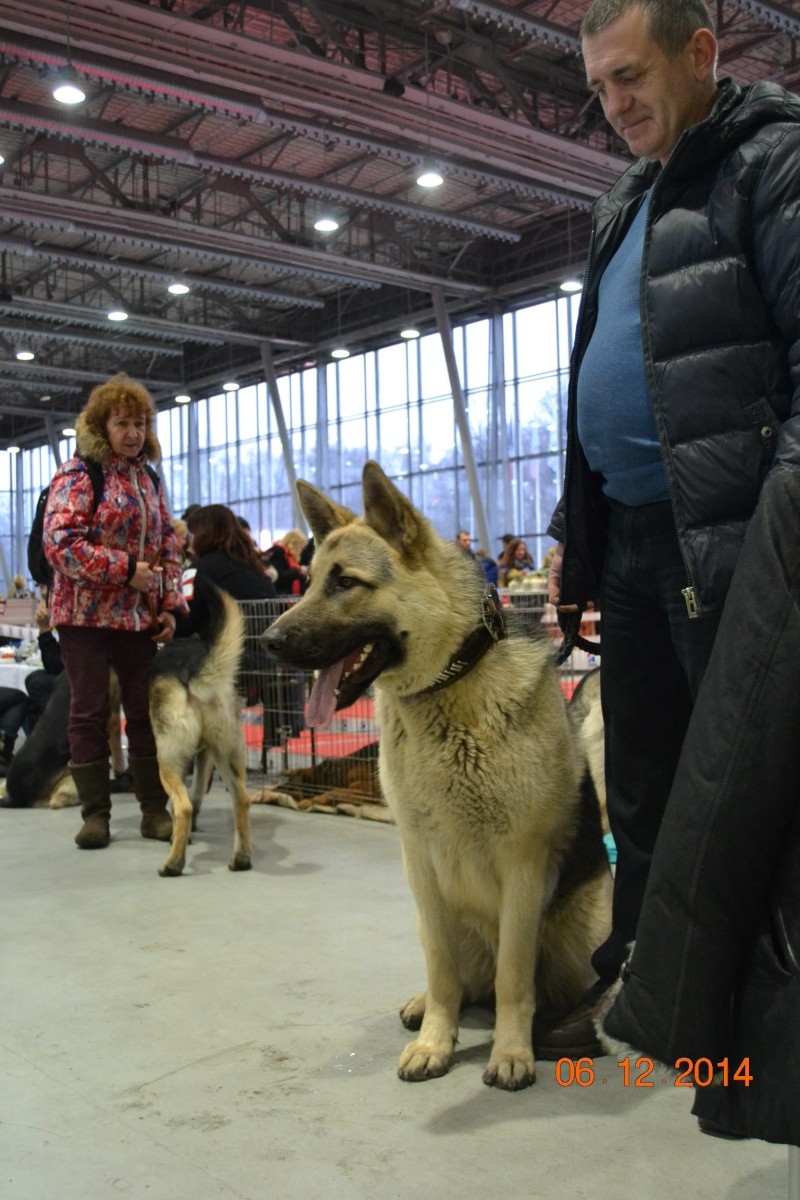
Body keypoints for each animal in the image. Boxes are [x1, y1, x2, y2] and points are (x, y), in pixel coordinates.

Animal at [263, 463, 614, 1094]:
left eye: (345, 582)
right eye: (310, 582)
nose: (267, 643)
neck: (448, 685)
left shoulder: (521, 866)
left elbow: (513, 978)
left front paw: (510, 1051)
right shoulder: (420, 863)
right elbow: (443, 968)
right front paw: (436, 1039)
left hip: (585, 928)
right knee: (456, 970)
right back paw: (424, 1004)